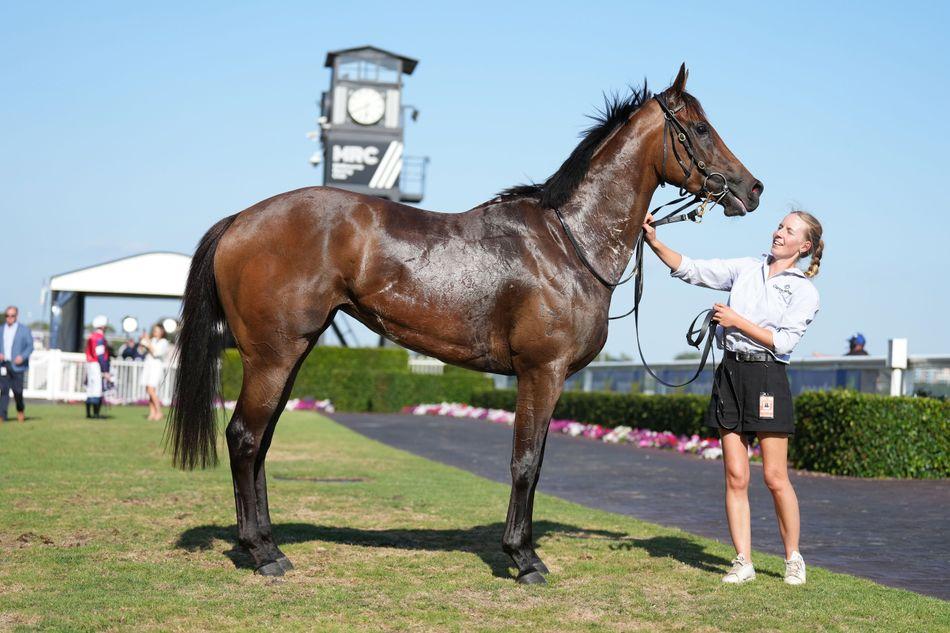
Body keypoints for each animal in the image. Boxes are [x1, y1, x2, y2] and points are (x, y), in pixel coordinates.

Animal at [169, 64, 768, 584]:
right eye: (700, 129)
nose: (753, 188)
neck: (567, 242)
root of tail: (240, 220)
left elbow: (536, 463)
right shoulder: (541, 372)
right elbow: (525, 462)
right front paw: (524, 559)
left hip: (289, 355)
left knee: (260, 444)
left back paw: (269, 543)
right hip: (273, 356)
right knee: (244, 438)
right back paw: (262, 553)